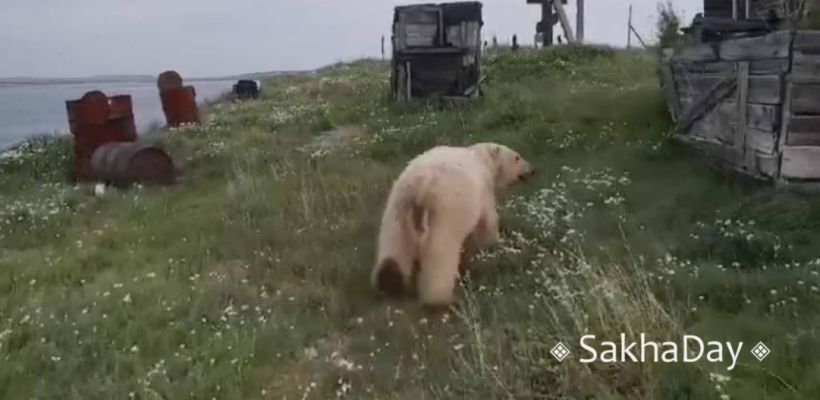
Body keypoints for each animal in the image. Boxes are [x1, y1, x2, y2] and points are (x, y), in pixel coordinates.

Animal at [371, 142, 535, 308]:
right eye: (517, 157)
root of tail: (420, 186)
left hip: (397, 210)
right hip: (444, 212)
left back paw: (389, 282)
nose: (532, 170)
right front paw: (493, 244)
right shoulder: (483, 190)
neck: (481, 157)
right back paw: (439, 298)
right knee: (441, 252)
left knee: (395, 246)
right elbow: (487, 220)